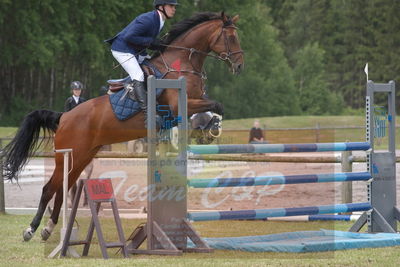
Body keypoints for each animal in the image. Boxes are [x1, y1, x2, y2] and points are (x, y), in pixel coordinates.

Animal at [2, 12, 244, 243]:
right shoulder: (179, 105)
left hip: (81, 157)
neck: (181, 64)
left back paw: (49, 229)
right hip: (67, 155)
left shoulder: (190, 105)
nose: (240, 65)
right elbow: (215, 105)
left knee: (62, 189)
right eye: (231, 37)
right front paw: (210, 129)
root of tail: (64, 117)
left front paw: (210, 128)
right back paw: (31, 230)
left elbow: (213, 107)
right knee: (49, 188)